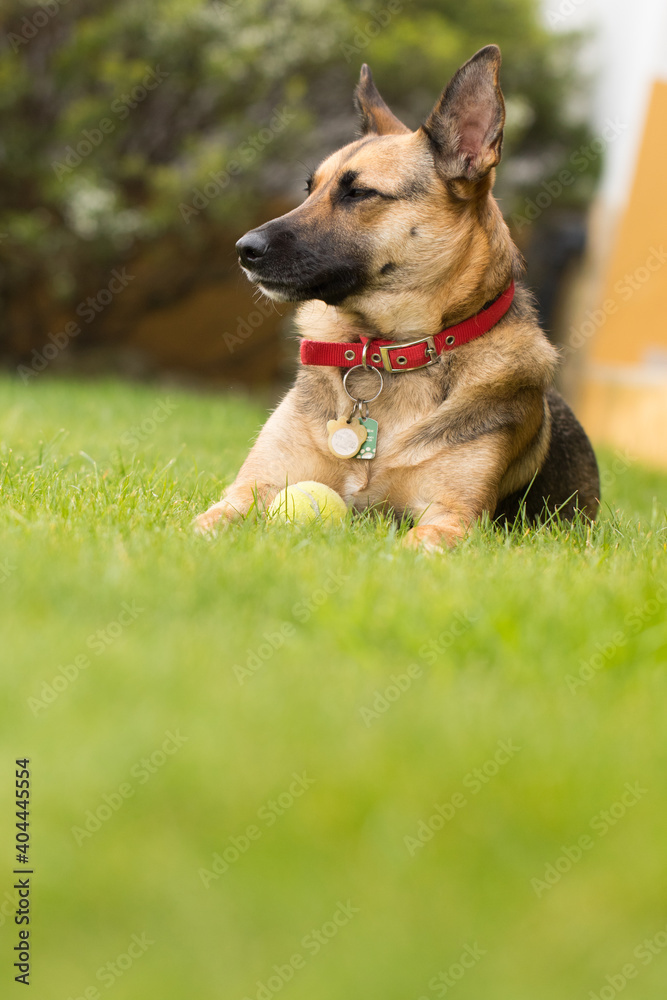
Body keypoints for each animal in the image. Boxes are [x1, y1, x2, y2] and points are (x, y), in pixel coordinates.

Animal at [194, 45, 600, 548]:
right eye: (309, 189)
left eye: (359, 192)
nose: (244, 250)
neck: (386, 351)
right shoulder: (250, 489)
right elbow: (203, 524)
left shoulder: (452, 519)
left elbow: (409, 546)